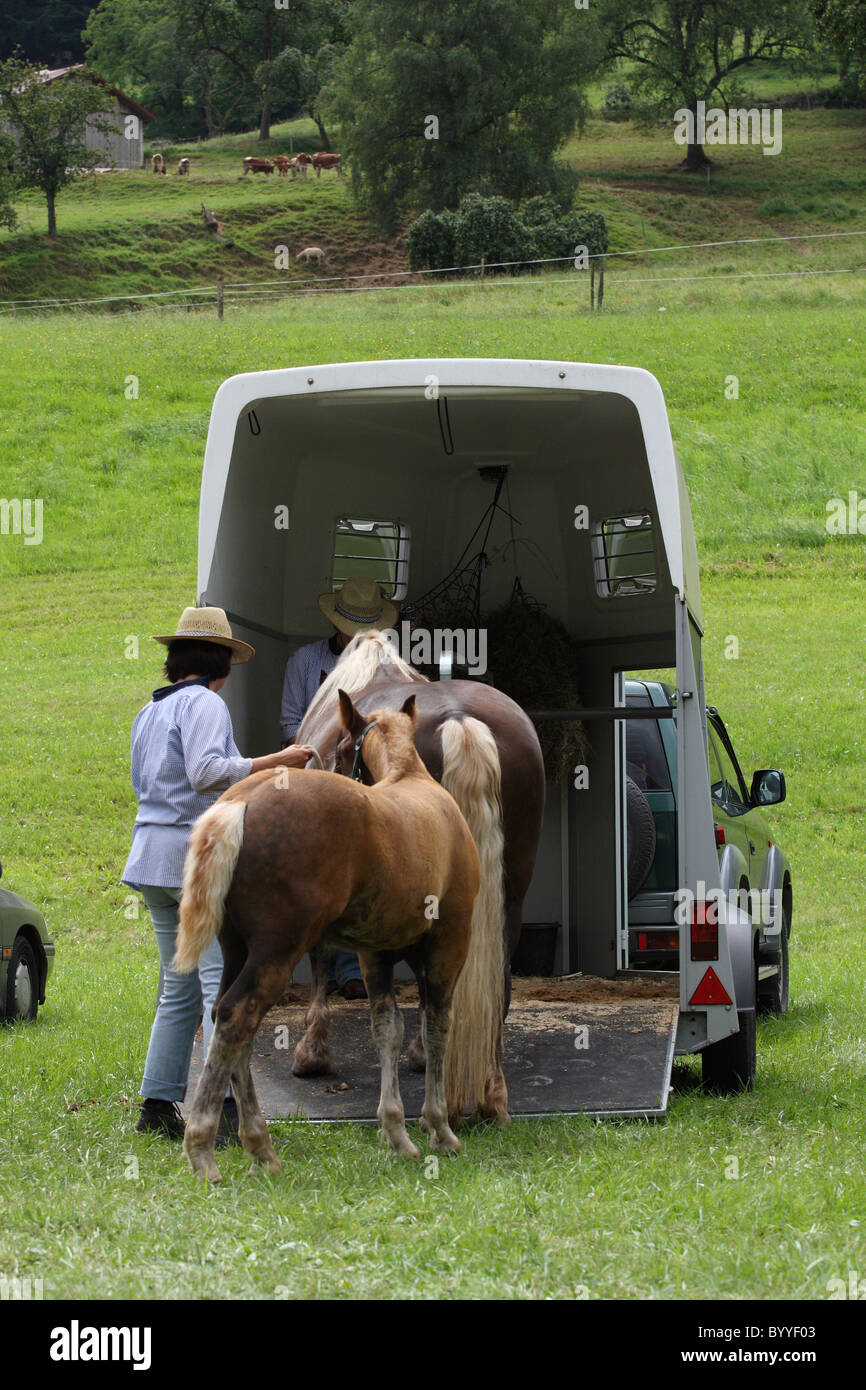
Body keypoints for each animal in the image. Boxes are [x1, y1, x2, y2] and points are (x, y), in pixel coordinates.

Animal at [174, 692, 483, 1182]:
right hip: (276, 953)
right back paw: (205, 1147)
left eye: (340, 750)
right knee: (239, 1017)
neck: (412, 781)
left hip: (239, 950)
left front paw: (398, 1134)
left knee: (223, 1015)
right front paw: (439, 1129)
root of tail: (241, 801)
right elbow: (436, 1027)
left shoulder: (376, 956)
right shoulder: (449, 944)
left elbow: (388, 1031)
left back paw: (259, 1147)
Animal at [292, 629, 546, 1123]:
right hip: (509, 893)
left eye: (341, 755)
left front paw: (313, 1051)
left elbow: (322, 957)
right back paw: (489, 1091)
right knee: (497, 986)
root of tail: (460, 719)